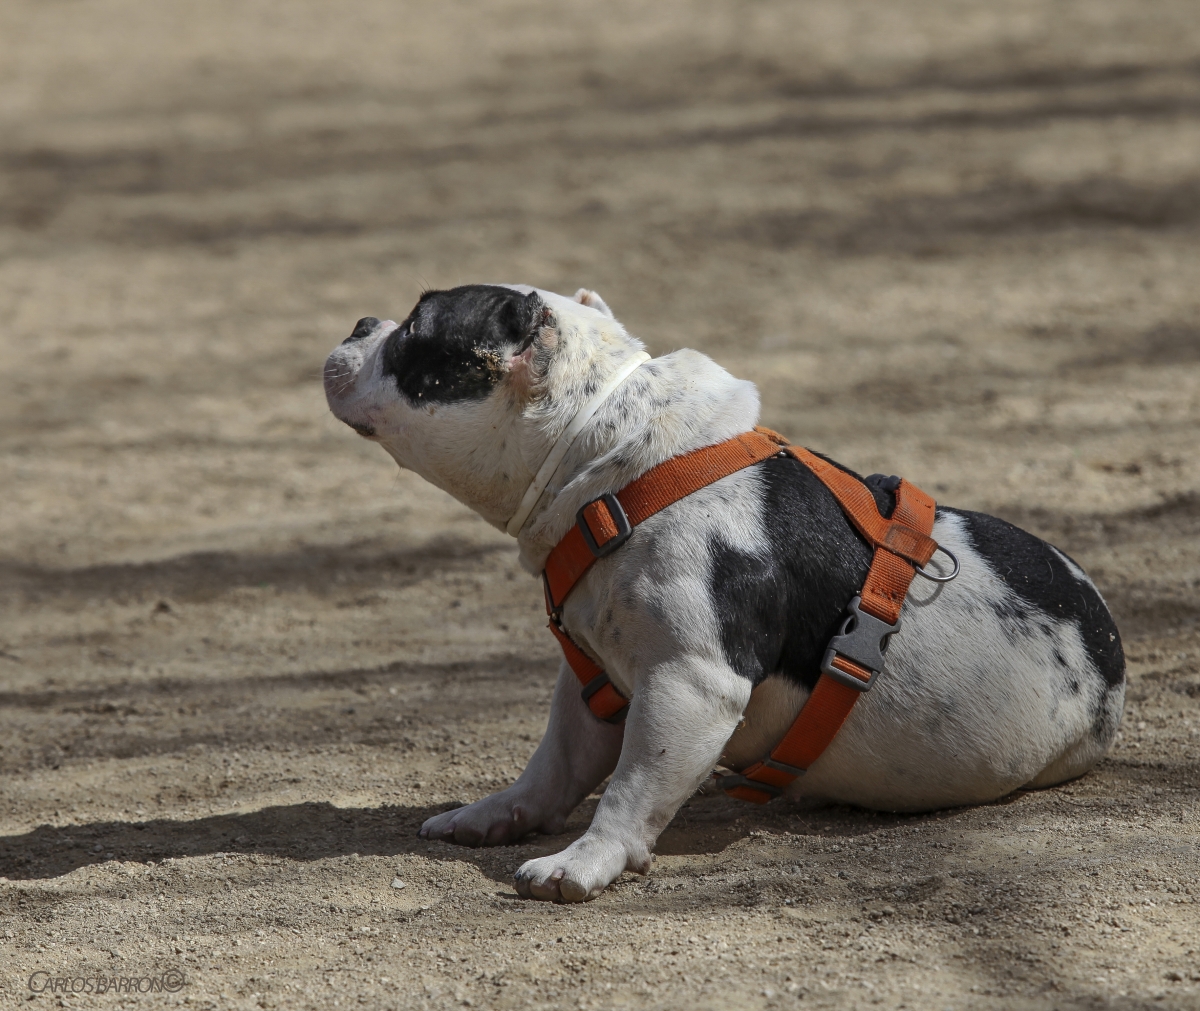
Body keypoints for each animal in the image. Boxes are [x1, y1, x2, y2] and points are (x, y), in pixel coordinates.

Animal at [321, 282, 1123, 898]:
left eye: (415, 329)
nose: (358, 322)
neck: (613, 461)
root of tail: (1108, 650)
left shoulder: (689, 682)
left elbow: (631, 785)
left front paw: (585, 860)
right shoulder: (593, 682)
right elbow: (554, 765)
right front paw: (499, 814)